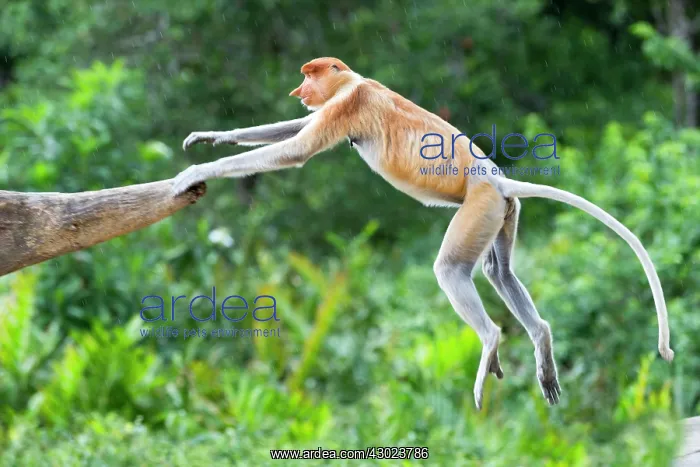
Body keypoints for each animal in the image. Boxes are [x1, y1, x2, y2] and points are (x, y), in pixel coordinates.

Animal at [172, 57, 674, 409]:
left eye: (309, 74)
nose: (299, 91)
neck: (357, 82)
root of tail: (498, 181)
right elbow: (296, 128)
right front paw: (210, 136)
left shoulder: (347, 105)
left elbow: (296, 148)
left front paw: (195, 171)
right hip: (502, 215)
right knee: (499, 272)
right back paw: (543, 347)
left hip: (477, 209)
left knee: (452, 270)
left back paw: (490, 344)